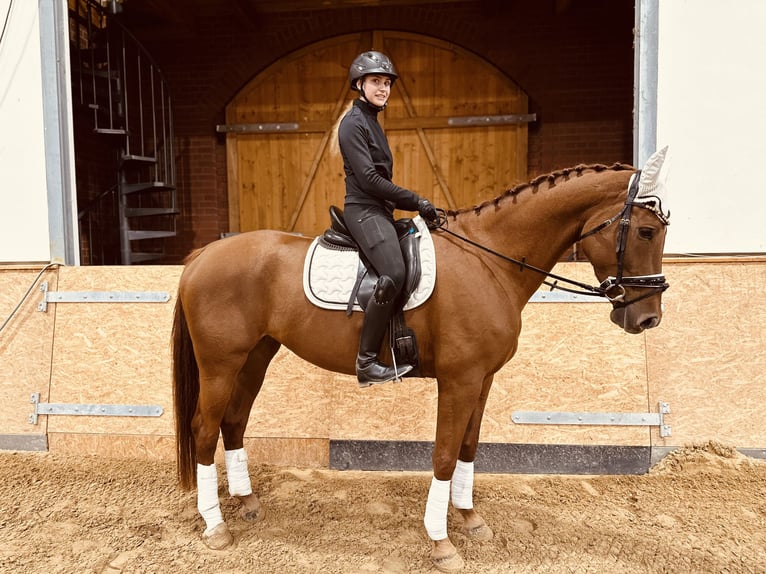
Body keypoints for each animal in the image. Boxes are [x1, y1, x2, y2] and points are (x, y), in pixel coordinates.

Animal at [172, 147, 671, 572]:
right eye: (646, 231)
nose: (648, 319)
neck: (489, 261)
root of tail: (203, 255)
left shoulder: (482, 380)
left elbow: (469, 447)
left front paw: (470, 520)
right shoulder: (459, 380)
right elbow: (445, 455)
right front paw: (442, 543)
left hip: (255, 356)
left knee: (233, 422)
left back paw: (247, 503)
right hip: (220, 364)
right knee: (204, 429)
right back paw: (215, 526)